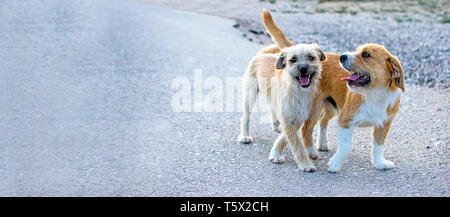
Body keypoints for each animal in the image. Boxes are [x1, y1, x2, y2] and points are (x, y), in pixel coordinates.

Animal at [260, 9, 404, 173]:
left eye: (366, 54)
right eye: (357, 50)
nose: (342, 56)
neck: (374, 94)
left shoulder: (384, 123)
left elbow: (378, 146)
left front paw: (380, 163)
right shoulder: (345, 121)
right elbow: (346, 146)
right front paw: (335, 164)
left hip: (331, 107)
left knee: (322, 121)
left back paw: (321, 144)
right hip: (314, 109)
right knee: (306, 129)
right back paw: (309, 152)